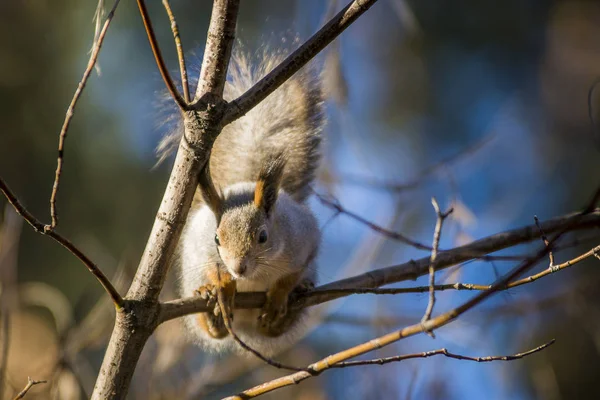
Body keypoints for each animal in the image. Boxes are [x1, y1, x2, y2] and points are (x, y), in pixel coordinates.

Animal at [157, 47, 322, 356]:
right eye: (216, 239)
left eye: (263, 237)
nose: (238, 268)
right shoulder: (199, 246)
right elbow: (212, 268)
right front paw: (222, 287)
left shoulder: (304, 241)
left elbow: (291, 274)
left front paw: (279, 296)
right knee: (214, 331)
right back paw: (211, 308)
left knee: (272, 331)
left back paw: (286, 311)